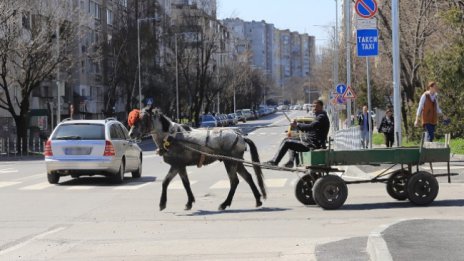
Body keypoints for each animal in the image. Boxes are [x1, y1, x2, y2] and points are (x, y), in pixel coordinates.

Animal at [128, 107, 268, 211]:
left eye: (143, 118)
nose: (131, 134)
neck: (171, 136)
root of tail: (240, 136)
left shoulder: (176, 165)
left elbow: (165, 182)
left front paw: (162, 204)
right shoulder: (181, 166)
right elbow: (185, 183)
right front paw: (189, 202)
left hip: (230, 162)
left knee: (234, 181)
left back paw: (224, 204)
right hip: (236, 162)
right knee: (248, 177)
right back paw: (258, 200)